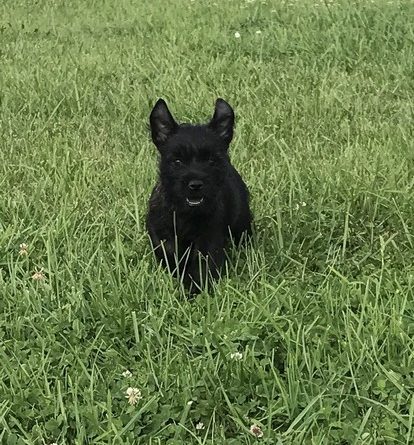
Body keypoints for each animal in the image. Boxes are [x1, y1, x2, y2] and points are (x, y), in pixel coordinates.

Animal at [147, 97, 251, 292]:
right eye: (177, 161)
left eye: (211, 161)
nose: (195, 184)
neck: (185, 212)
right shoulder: (160, 233)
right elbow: (170, 254)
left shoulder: (209, 238)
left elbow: (202, 267)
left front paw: (194, 291)